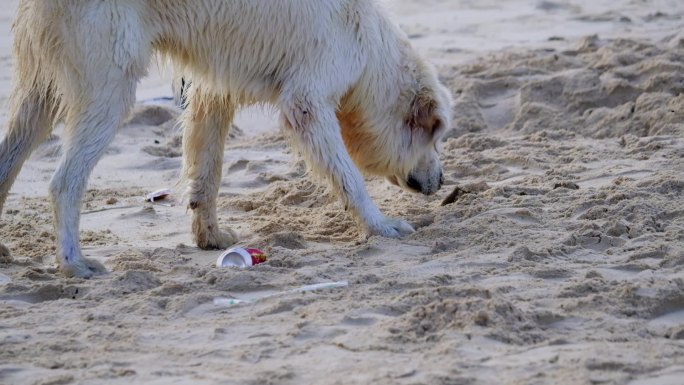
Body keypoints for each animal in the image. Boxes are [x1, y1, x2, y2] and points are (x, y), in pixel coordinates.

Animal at [0, 0, 452, 276]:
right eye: (435, 135)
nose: (443, 181)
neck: (371, 52)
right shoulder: (308, 100)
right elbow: (348, 176)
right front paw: (382, 225)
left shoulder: (212, 93)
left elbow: (208, 170)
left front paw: (211, 237)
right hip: (108, 82)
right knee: (64, 182)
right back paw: (75, 264)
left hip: (40, 90)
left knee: (12, 153)